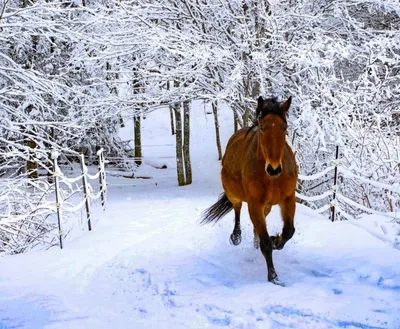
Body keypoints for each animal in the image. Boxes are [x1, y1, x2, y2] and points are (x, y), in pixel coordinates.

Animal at [203, 96, 296, 284]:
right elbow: (266, 243)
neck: (271, 178)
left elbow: (289, 231)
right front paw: (273, 276)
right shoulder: (255, 203)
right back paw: (236, 236)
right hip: (234, 195)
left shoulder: (289, 198)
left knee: (258, 226)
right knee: (237, 210)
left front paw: (276, 241)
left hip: (267, 206)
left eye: (284, 127)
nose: (274, 169)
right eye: (262, 127)